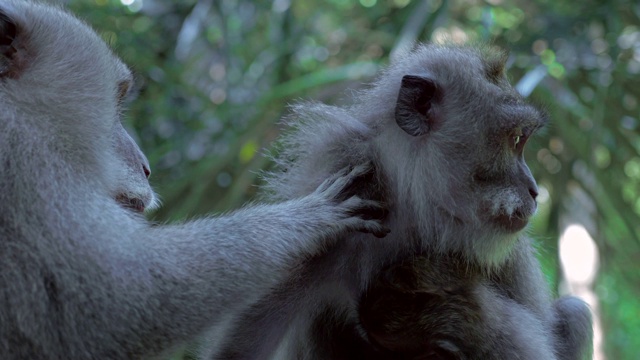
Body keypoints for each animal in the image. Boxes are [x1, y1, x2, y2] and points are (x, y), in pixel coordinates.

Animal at [211, 45, 596, 360]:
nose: (534, 190)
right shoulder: (328, 210)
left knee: (575, 314)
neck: (414, 208)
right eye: (515, 140)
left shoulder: (507, 254)